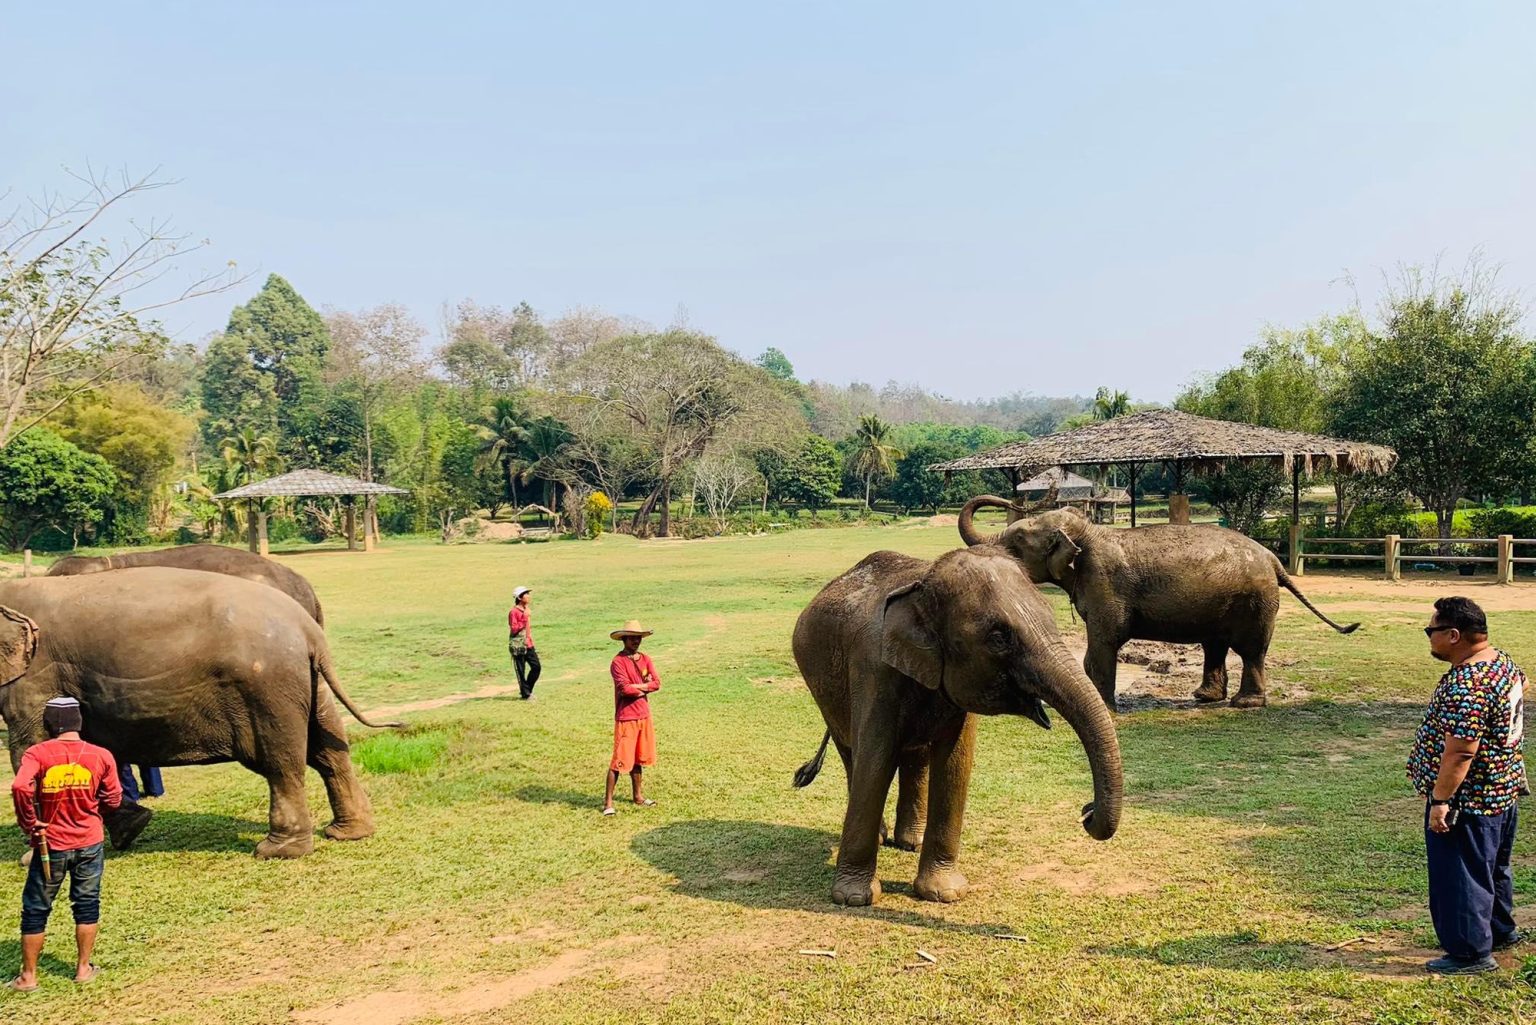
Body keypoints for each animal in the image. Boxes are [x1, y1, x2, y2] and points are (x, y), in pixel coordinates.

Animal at [0, 568, 400, 858]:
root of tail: (309, 630)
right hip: (307, 685)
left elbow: (31, 751)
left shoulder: (34, 677)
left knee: (282, 764)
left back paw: (276, 851)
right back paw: (348, 833)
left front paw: (31, 859)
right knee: (330, 752)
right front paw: (132, 829)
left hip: (268, 688)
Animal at [791, 546, 1123, 907]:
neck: (922, 586)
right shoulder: (874, 671)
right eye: (998, 638)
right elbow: (876, 759)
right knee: (852, 753)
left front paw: (944, 893)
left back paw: (911, 842)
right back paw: (883, 838)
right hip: (823, 690)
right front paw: (853, 898)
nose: (1087, 811)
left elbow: (954, 765)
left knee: (915, 756)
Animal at [958, 498, 1360, 709]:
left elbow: (1104, 640)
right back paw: (1204, 698)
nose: (1008, 499)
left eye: (1017, 541)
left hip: (1253, 600)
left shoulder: (1105, 583)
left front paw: (1105, 707)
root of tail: (1273, 559)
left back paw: (1243, 704)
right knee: (1216, 645)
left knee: (1250, 650)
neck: (1088, 532)